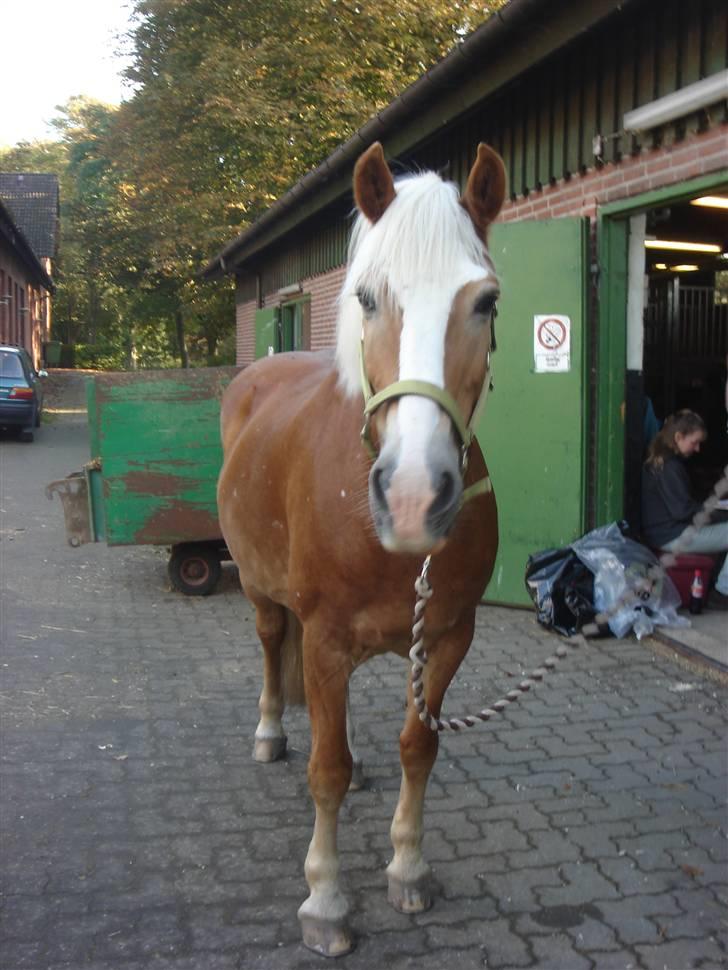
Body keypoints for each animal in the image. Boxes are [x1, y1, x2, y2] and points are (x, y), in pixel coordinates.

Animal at [216, 142, 506, 952]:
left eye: (486, 302)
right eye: (367, 299)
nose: (412, 496)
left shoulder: (448, 637)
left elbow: (418, 746)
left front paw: (408, 867)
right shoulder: (321, 638)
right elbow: (325, 774)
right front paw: (325, 900)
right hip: (262, 596)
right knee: (271, 650)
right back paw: (269, 731)